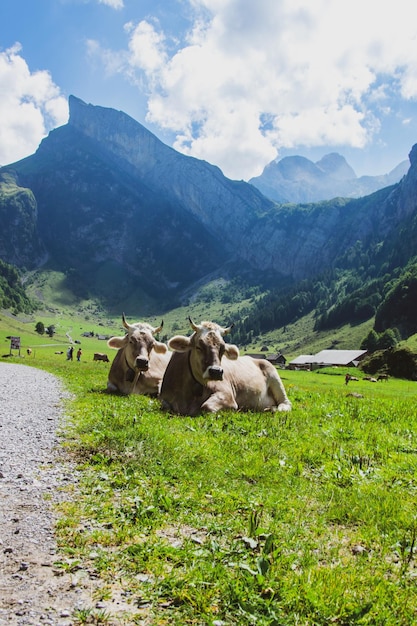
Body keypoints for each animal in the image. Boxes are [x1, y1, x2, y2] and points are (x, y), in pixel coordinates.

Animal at [160, 316, 292, 414]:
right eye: (198, 347)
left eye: (223, 349)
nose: (216, 371)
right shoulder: (164, 398)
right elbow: (165, 405)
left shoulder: (227, 395)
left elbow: (206, 407)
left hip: (275, 378)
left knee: (286, 403)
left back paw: (276, 409)